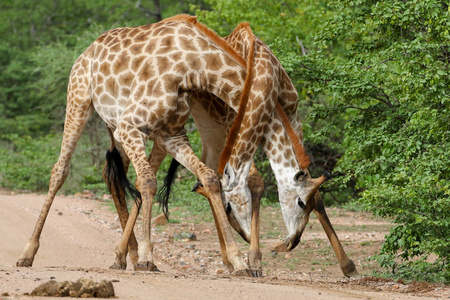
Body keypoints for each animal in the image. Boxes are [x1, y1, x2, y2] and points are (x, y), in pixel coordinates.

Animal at [14, 15, 270, 276]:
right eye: (230, 207)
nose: (247, 238)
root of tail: (87, 51)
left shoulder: (170, 134)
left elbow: (207, 178)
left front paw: (241, 262)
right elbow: (148, 180)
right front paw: (147, 257)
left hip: (118, 127)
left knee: (113, 175)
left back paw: (126, 256)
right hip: (80, 100)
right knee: (61, 170)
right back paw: (27, 253)